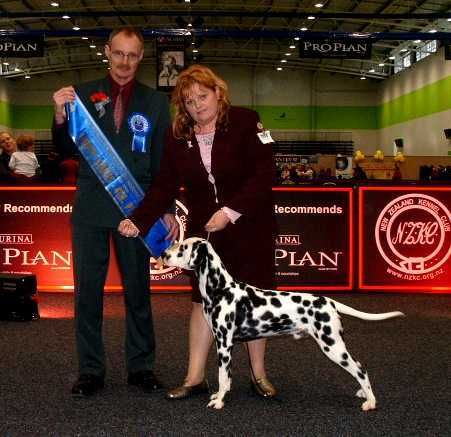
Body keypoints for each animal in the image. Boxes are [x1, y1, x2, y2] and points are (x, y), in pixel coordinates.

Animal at [161, 237, 404, 410]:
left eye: (183, 247)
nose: (163, 254)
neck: (220, 288)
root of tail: (328, 301)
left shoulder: (224, 344)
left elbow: (223, 377)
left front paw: (219, 401)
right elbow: (226, 379)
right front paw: (219, 396)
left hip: (332, 345)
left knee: (360, 369)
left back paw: (370, 402)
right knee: (359, 367)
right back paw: (364, 394)